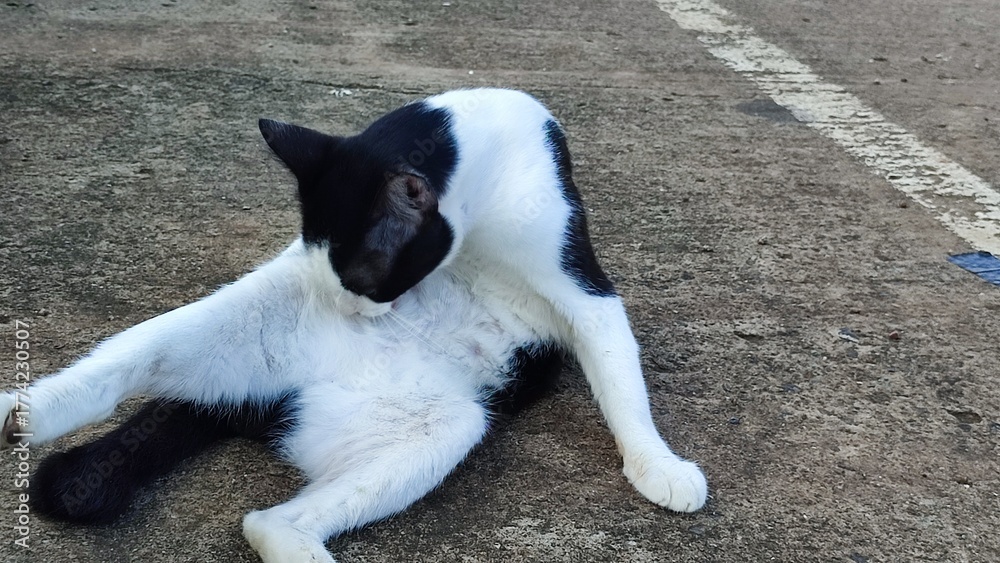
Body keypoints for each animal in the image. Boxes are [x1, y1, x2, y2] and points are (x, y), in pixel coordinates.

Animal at [1, 88, 707, 563]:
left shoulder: (580, 282)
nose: (355, 312)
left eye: (364, 280)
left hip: (432, 424)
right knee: (121, 369)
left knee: (264, 521)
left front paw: (656, 462)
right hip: (240, 319)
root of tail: (283, 396)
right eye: (337, 275)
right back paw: (20, 410)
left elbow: (621, 379)